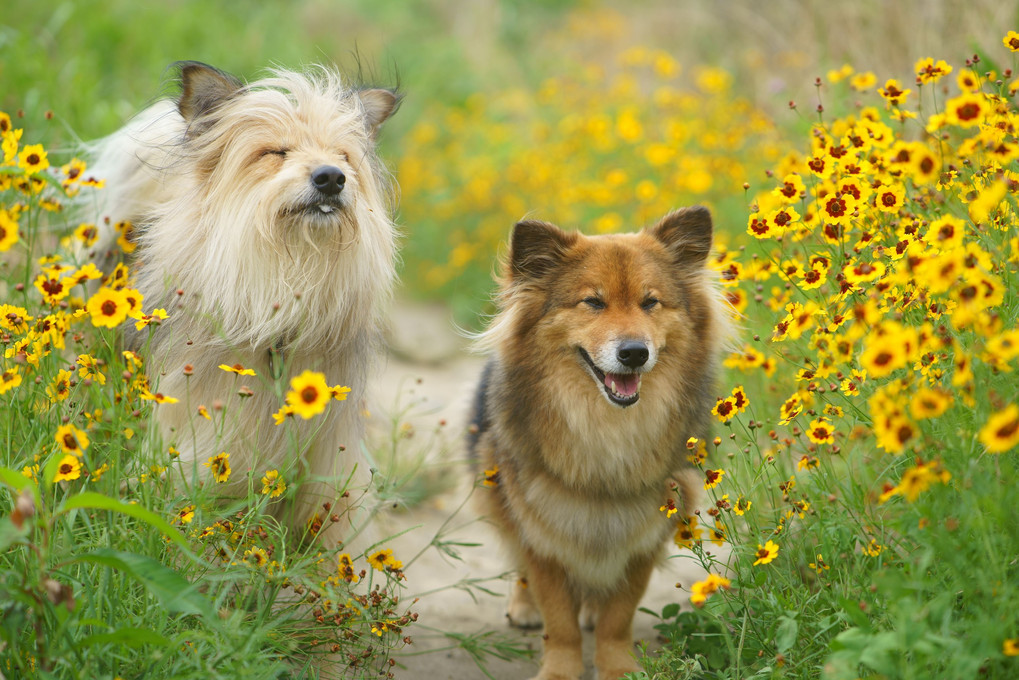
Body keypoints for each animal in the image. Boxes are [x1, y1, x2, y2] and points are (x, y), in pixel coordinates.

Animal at [472, 208, 729, 680]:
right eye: (592, 302)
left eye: (650, 302)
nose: (634, 353)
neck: (605, 426)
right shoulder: (541, 527)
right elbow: (559, 619)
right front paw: (560, 669)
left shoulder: (643, 530)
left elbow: (617, 616)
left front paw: (618, 667)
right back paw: (524, 607)